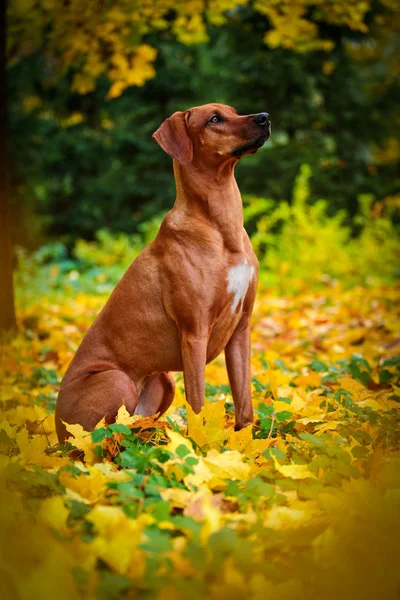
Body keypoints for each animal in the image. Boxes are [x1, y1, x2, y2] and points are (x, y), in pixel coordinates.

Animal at [54, 103, 270, 442]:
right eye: (214, 119)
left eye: (234, 111)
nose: (265, 117)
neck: (222, 227)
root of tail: (57, 433)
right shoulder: (194, 333)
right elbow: (197, 403)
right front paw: (201, 445)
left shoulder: (241, 328)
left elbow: (244, 403)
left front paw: (245, 445)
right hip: (116, 381)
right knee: (102, 439)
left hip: (163, 380)